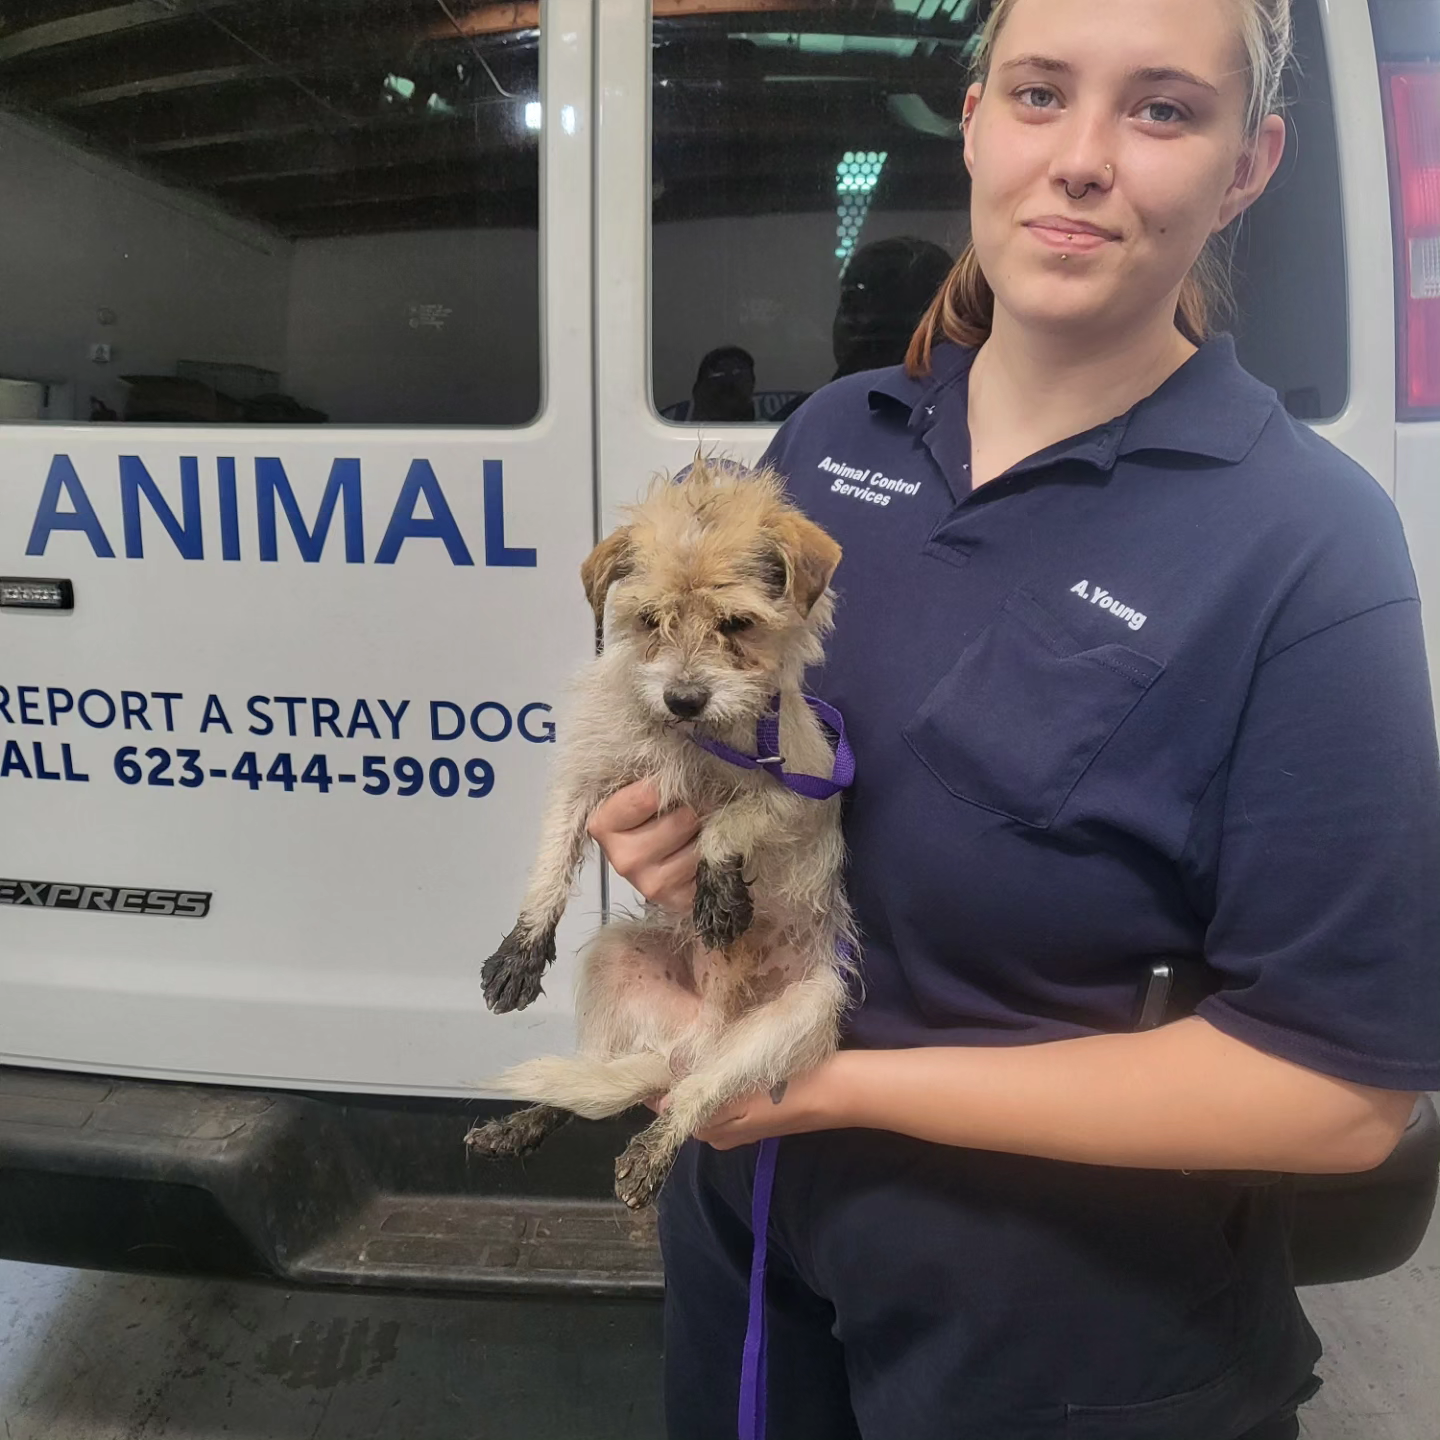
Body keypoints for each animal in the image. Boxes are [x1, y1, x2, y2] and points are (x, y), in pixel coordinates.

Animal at [466, 455, 852, 1209]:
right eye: (650, 620)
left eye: (737, 623)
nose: (683, 697)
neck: (689, 739)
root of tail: (697, 1039)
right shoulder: (583, 780)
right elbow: (551, 858)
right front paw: (521, 949)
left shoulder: (804, 794)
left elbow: (731, 817)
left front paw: (718, 888)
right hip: (612, 958)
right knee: (597, 1080)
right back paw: (525, 1121)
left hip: (803, 1015)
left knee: (695, 1097)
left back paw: (652, 1149)